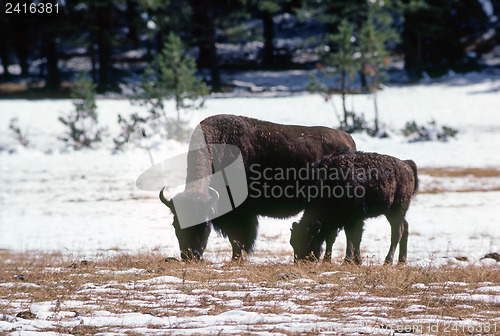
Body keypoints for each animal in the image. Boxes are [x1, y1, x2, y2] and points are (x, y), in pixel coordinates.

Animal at [160, 114, 356, 262]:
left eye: (204, 223)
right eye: (175, 224)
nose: (190, 255)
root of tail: (348, 140)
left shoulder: (240, 214)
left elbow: (238, 238)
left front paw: (236, 259)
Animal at [290, 152, 418, 266]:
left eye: (308, 240)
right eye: (292, 243)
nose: (300, 262)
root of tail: (406, 165)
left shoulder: (355, 219)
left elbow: (354, 238)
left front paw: (353, 261)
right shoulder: (340, 221)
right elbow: (336, 238)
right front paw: (331, 260)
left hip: (396, 211)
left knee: (397, 232)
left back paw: (388, 262)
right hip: (395, 213)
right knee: (405, 227)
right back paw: (401, 261)